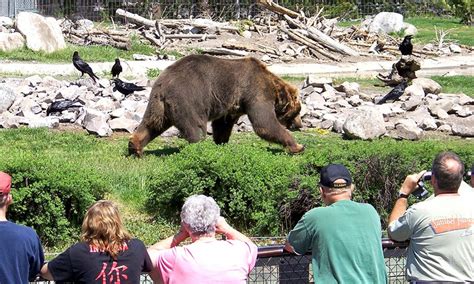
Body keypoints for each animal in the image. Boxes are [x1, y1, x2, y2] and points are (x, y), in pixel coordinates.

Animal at [129, 54, 304, 156]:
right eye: (298, 112)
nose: (300, 125)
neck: (274, 89)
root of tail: (163, 84)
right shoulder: (255, 92)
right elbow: (265, 123)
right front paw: (298, 146)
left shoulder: (231, 106)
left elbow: (222, 125)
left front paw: (221, 143)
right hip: (189, 99)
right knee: (196, 128)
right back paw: (200, 148)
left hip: (158, 105)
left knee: (152, 124)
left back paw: (135, 147)